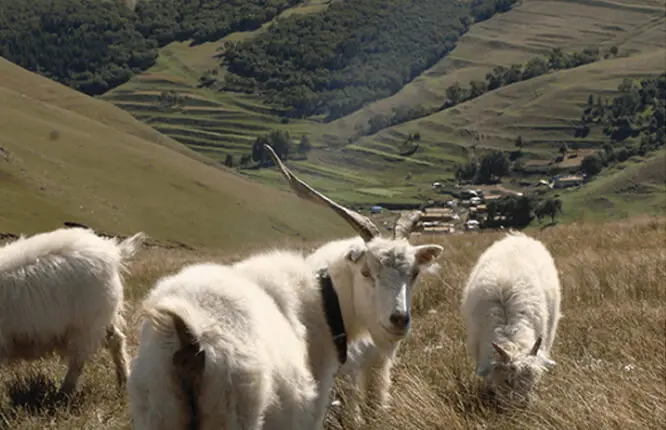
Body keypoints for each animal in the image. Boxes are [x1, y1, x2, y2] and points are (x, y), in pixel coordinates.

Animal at [0, 227, 146, 395]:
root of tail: (112, 251)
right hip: (101, 318)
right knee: (116, 340)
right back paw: (123, 380)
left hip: (87, 324)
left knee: (78, 360)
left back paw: (65, 391)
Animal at [127, 145, 443, 429]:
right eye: (366, 272)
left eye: (414, 273)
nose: (399, 320)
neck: (323, 301)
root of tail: (187, 330)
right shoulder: (308, 412)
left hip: (157, 408)